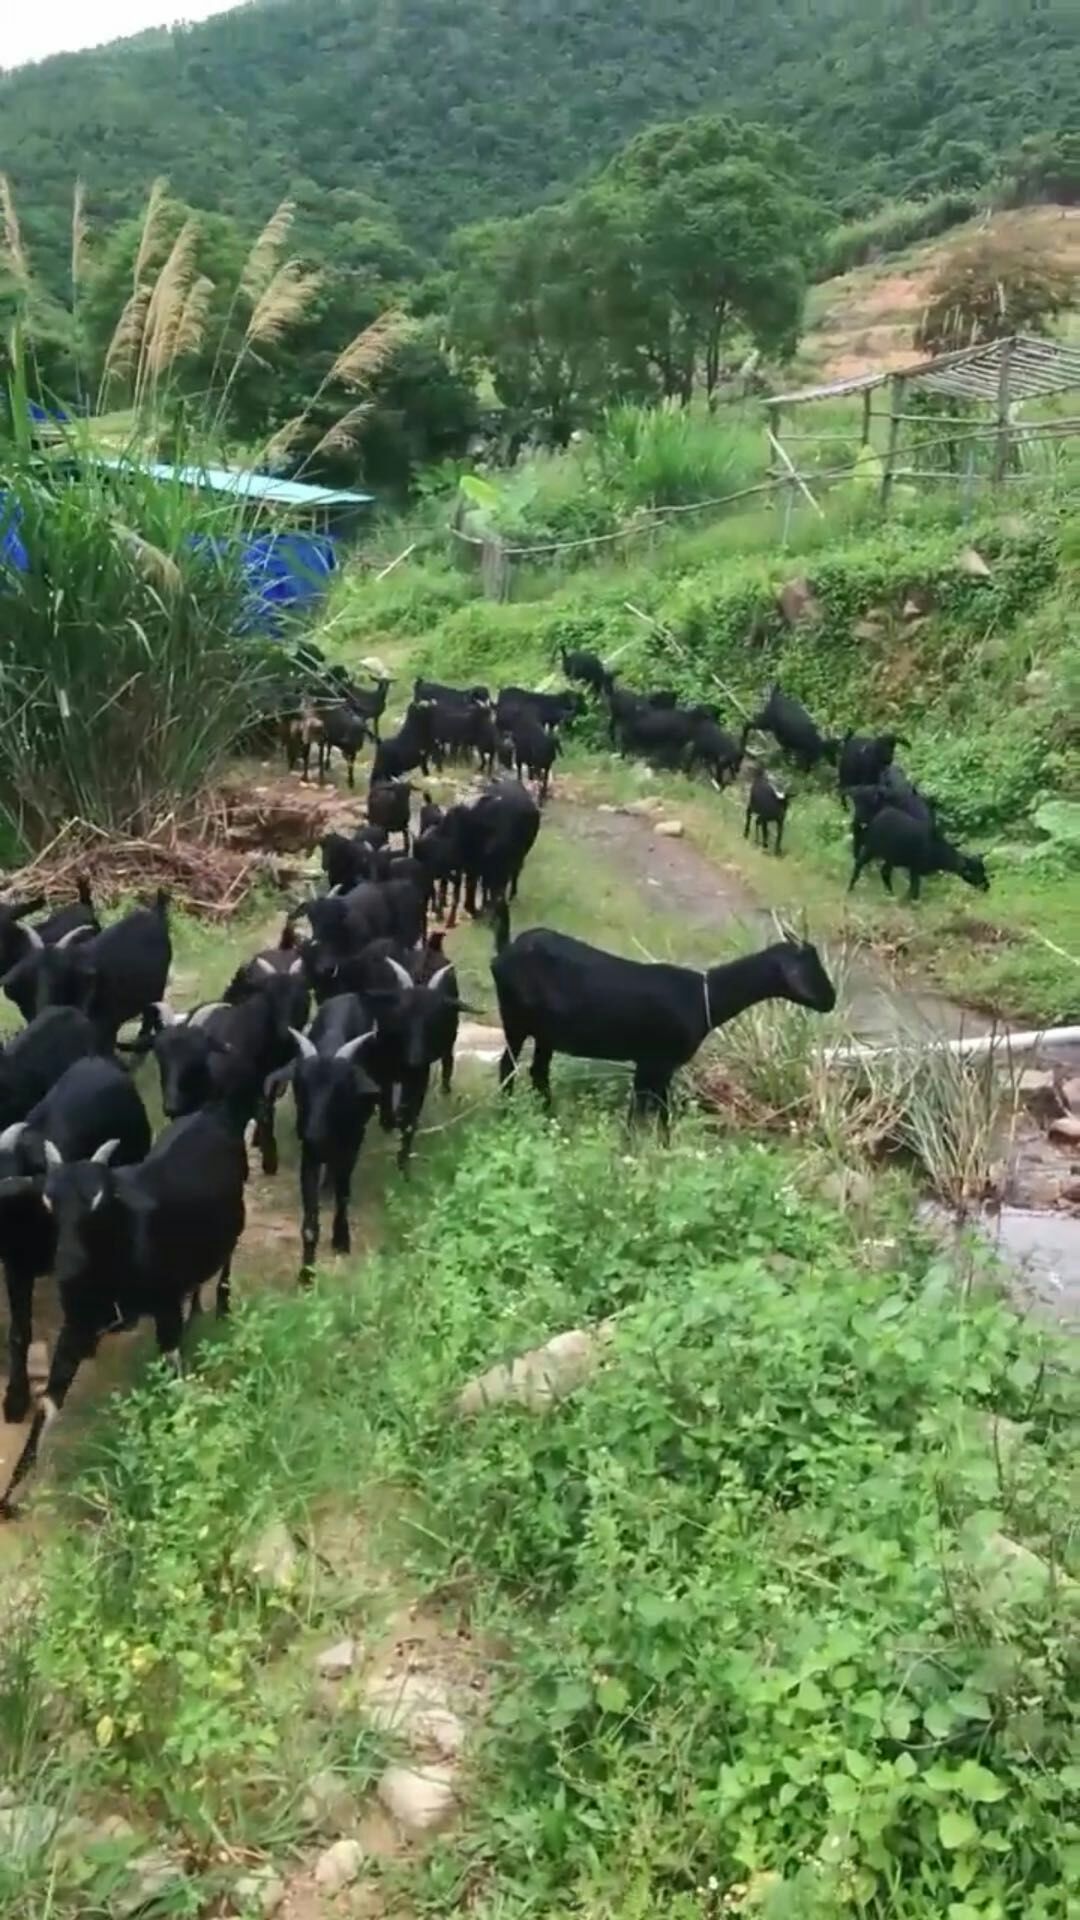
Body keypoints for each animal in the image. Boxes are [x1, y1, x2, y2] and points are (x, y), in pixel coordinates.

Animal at [0, 1113, 244, 1512]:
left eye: (98, 1202)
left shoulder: (164, 1307)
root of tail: (207, 1116)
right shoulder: (77, 1324)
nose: (67, 1264)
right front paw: (12, 1492)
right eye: (49, 1202)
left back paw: (220, 1306)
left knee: (225, 1262)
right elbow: (48, 1402)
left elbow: (173, 1372)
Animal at [488, 913, 834, 1121]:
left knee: (538, 1072)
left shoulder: (659, 1068)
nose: (831, 1000)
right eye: (809, 967)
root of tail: (503, 952)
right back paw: (507, 1112)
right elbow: (643, 1116)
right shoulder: (654, 1062)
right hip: (515, 1020)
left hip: (545, 1031)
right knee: (508, 1065)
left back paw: (550, 1117)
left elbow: (658, 1115)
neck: (704, 998)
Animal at [845, 806, 991, 902]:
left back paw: (890, 894)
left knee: (884, 872)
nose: (987, 887)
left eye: (983, 869)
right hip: (872, 847)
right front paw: (909, 902)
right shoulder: (915, 867)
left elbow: (914, 889)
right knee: (859, 862)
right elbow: (914, 890)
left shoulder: (914, 869)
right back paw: (850, 888)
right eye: (973, 872)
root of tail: (878, 816)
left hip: (890, 856)